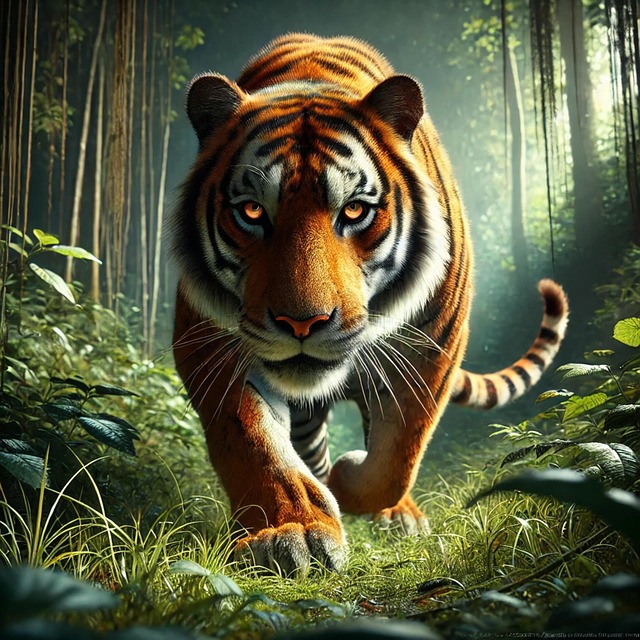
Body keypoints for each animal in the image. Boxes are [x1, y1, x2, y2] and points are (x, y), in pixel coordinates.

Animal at [171, 33, 569, 576]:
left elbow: (394, 459)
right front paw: (292, 530)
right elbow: (253, 441)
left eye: (355, 210)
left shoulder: (432, 347)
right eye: (251, 212)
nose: (303, 323)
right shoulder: (208, 342)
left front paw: (351, 482)